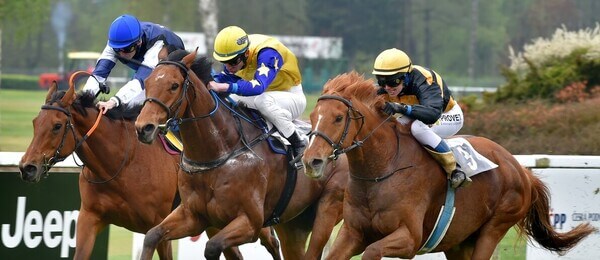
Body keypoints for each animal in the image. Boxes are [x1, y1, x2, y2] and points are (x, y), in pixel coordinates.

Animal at [17, 78, 280, 258]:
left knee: (272, 241)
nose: (27, 167)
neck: (119, 165)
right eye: (35, 123)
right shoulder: (89, 218)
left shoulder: (160, 223)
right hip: (215, 221)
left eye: (57, 126)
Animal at [132, 50, 346, 260]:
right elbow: (152, 236)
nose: (144, 128)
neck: (219, 152)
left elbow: (212, 247)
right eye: (147, 82)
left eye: (174, 85)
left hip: (328, 207)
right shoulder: (192, 216)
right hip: (293, 223)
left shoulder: (250, 222)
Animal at [300, 71, 596, 260]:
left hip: (494, 228)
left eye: (338, 118)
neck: (380, 171)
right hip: (459, 241)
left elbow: (373, 251)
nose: (311, 160)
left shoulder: (409, 238)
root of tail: (520, 170)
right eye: (313, 116)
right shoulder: (352, 233)